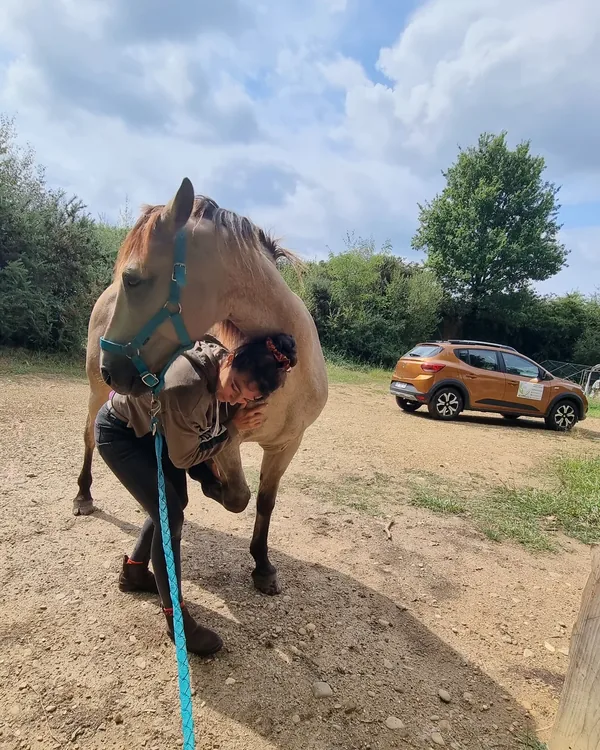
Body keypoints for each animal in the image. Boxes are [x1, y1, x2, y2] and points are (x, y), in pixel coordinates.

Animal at [73, 178, 328, 595]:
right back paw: (83, 494)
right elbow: (238, 496)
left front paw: (263, 566)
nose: (112, 369)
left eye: (134, 278)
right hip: (97, 395)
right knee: (89, 438)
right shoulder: (229, 440)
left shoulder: (287, 444)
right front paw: (211, 484)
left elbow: (264, 502)